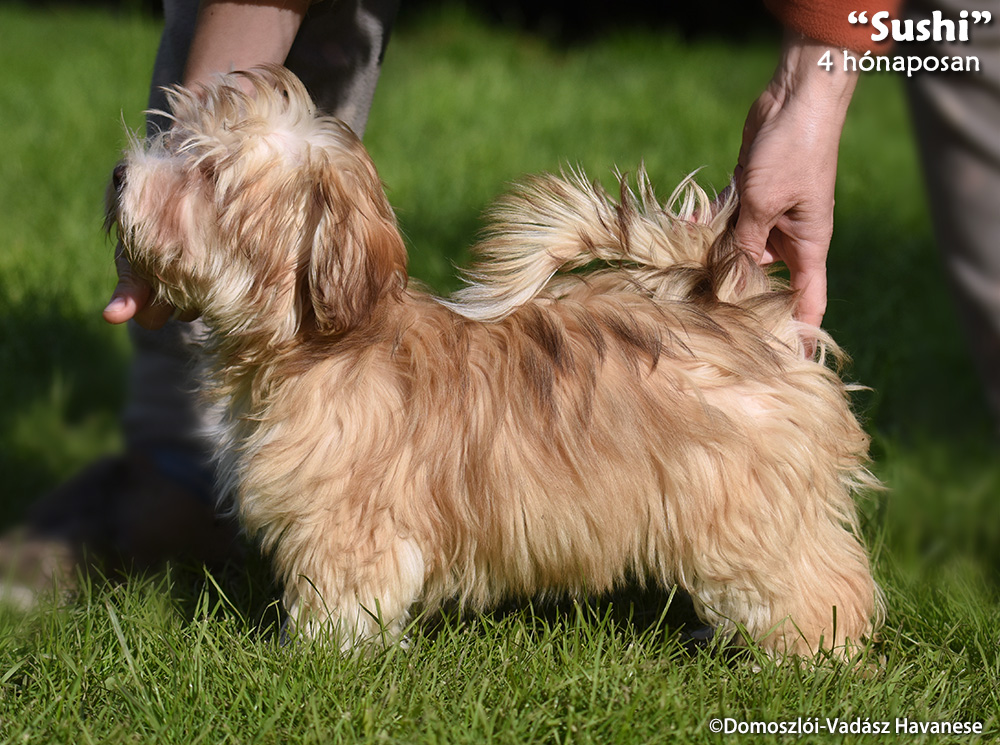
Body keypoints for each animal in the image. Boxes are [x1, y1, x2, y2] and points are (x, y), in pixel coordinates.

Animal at [111, 65, 884, 656]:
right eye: (175, 138)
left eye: (208, 174)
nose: (119, 174)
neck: (319, 343)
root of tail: (742, 313)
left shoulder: (348, 522)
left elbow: (343, 594)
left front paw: (318, 656)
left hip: (747, 508)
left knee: (814, 582)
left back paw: (811, 655)